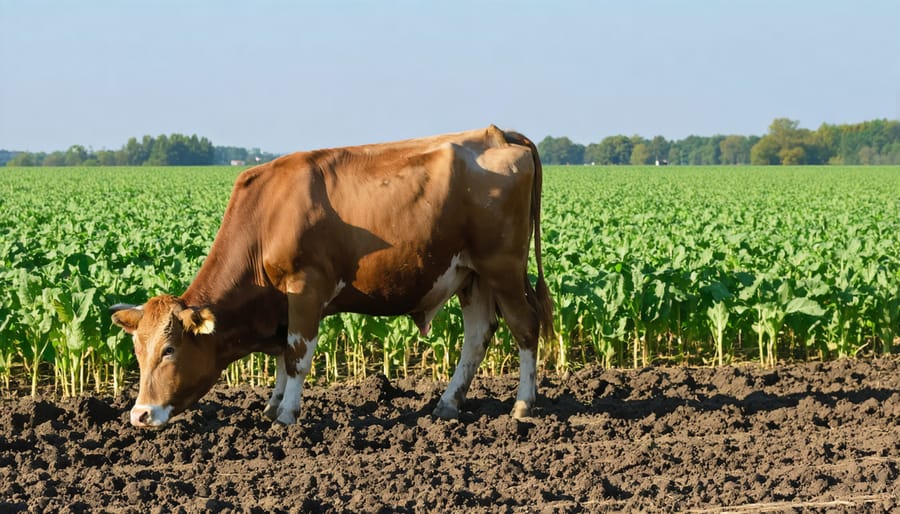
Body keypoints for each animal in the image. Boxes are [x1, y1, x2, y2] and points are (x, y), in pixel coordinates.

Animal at [109, 125, 552, 428]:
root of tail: (497, 133)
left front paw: (286, 414)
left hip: (503, 266)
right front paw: (271, 405)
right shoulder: (283, 304)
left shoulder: (305, 287)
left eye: (169, 350)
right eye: (137, 352)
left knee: (525, 327)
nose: (140, 414)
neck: (265, 217)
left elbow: (297, 356)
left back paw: (523, 405)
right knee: (477, 336)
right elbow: (282, 358)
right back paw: (447, 404)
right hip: (470, 274)